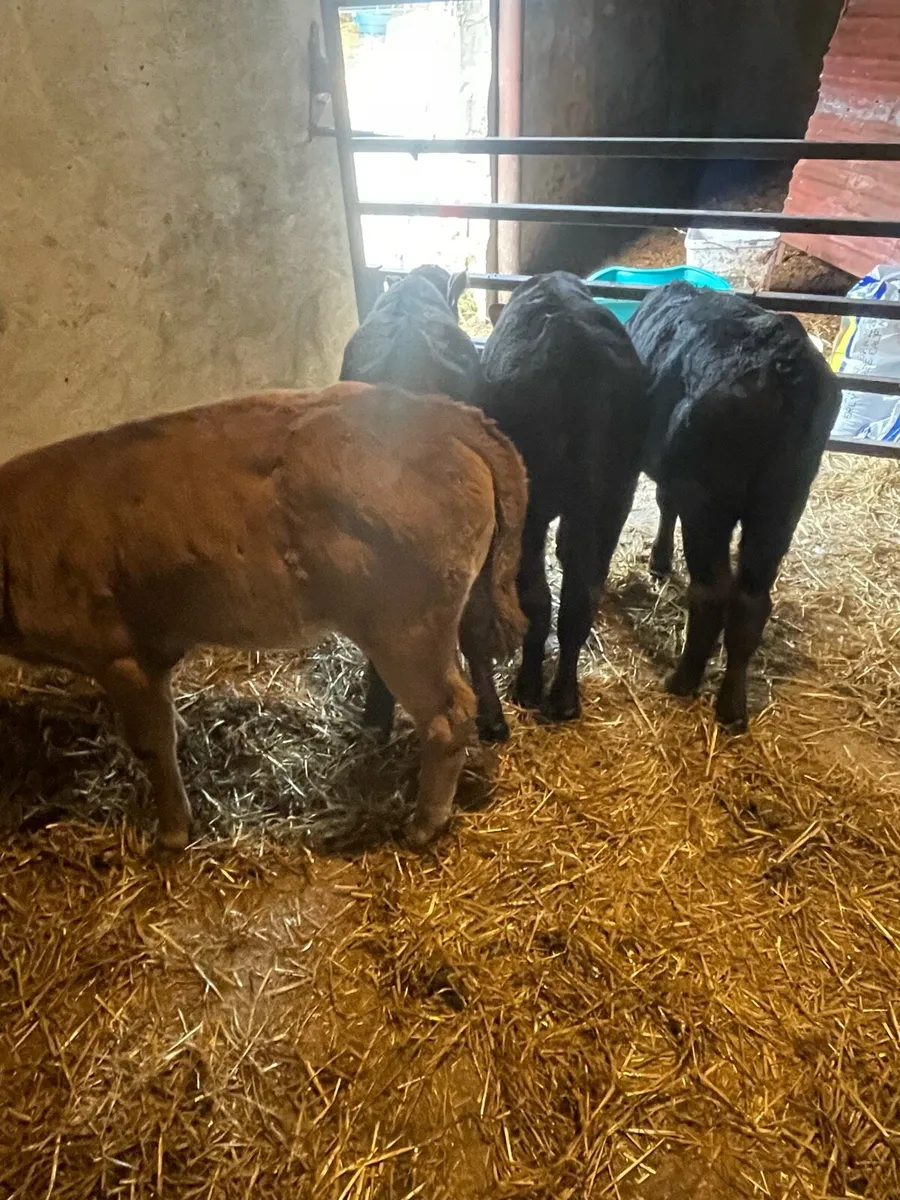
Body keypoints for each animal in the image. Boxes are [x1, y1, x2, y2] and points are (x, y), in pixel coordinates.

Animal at [0, 383, 527, 851]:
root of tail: (435, 411)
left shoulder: (121, 656)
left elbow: (151, 744)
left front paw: (172, 833)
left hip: (407, 632)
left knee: (447, 716)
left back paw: (423, 823)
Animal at [627, 281, 841, 729]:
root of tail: (782, 357)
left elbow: (661, 500)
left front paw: (659, 560)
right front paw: (660, 559)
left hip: (709, 503)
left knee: (711, 593)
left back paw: (683, 681)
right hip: (782, 503)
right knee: (751, 601)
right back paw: (732, 706)